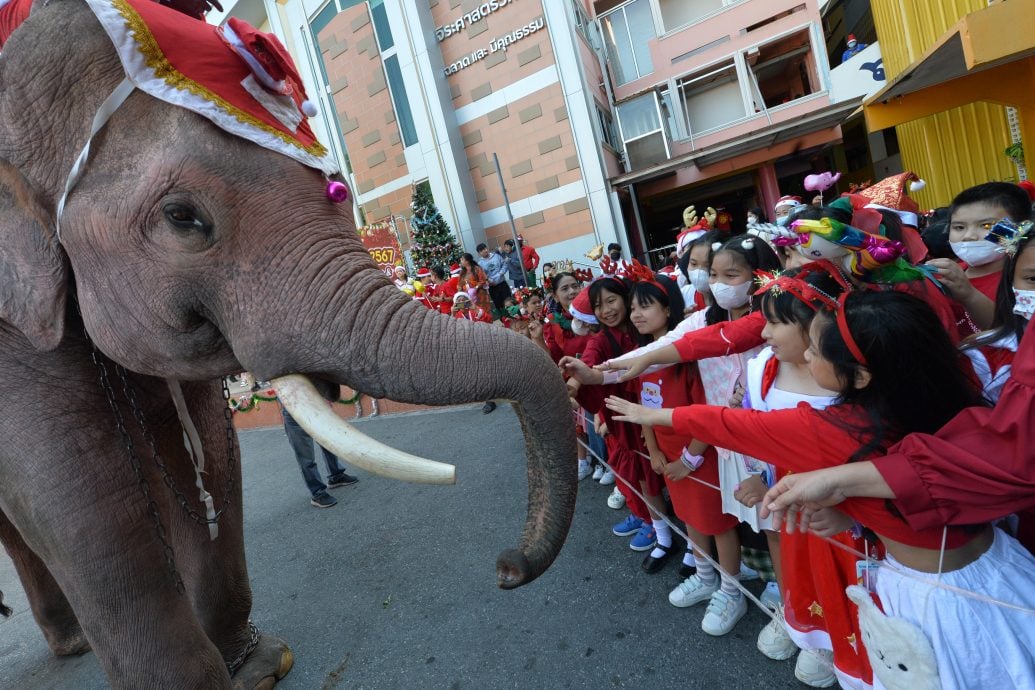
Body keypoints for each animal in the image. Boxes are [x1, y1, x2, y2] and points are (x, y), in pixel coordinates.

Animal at [0, 2, 575, 686]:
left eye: (337, 188)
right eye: (181, 217)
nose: (506, 567)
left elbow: (211, 453)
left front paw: (262, 666)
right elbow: (85, 498)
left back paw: (72, 643)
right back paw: (71, 643)